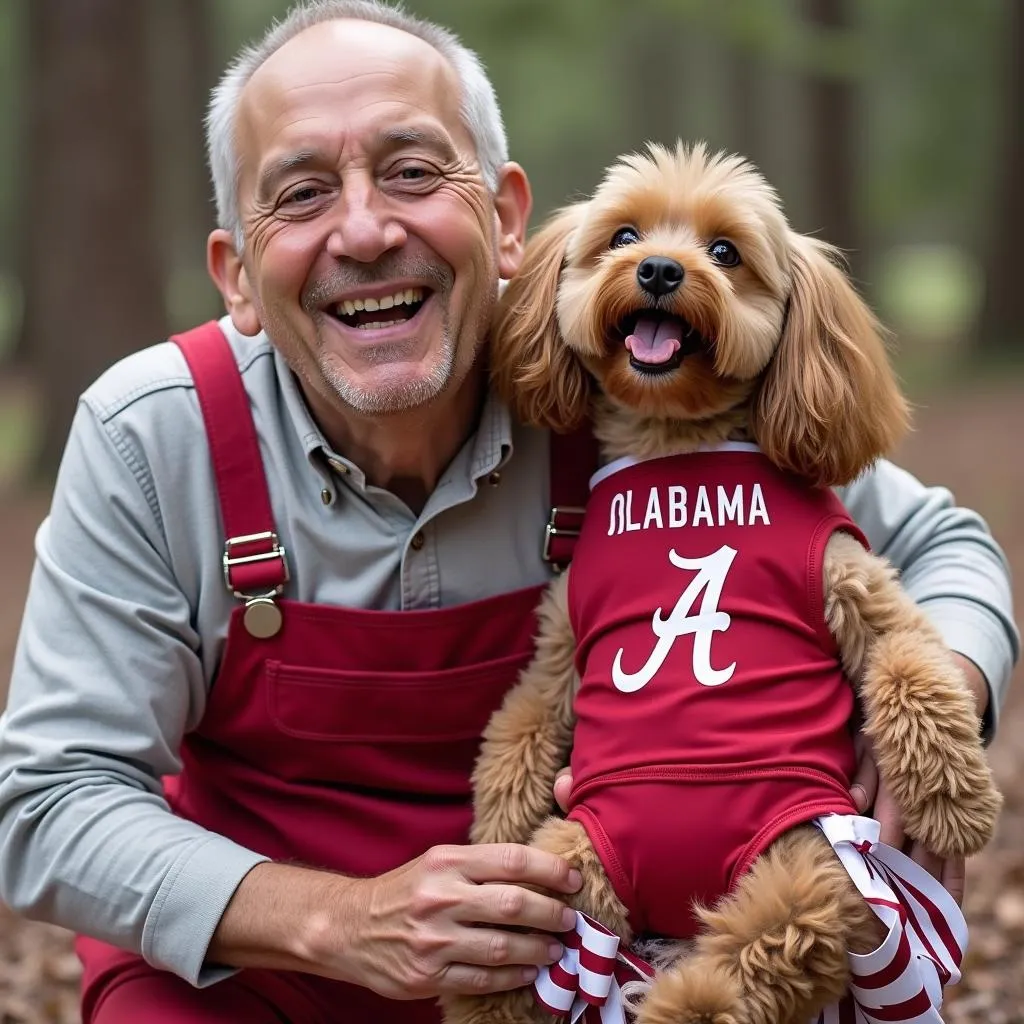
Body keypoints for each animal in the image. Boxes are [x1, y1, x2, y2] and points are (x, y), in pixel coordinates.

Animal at [440, 144, 999, 1024]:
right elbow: (523, 722)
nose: (661, 269)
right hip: (573, 866)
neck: (678, 445)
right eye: (624, 236)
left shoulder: (853, 584)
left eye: (727, 252)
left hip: (814, 859)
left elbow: (914, 670)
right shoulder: (566, 636)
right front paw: (493, 824)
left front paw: (955, 803)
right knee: (546, 949)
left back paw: (685, 1000)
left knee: (764, 946)